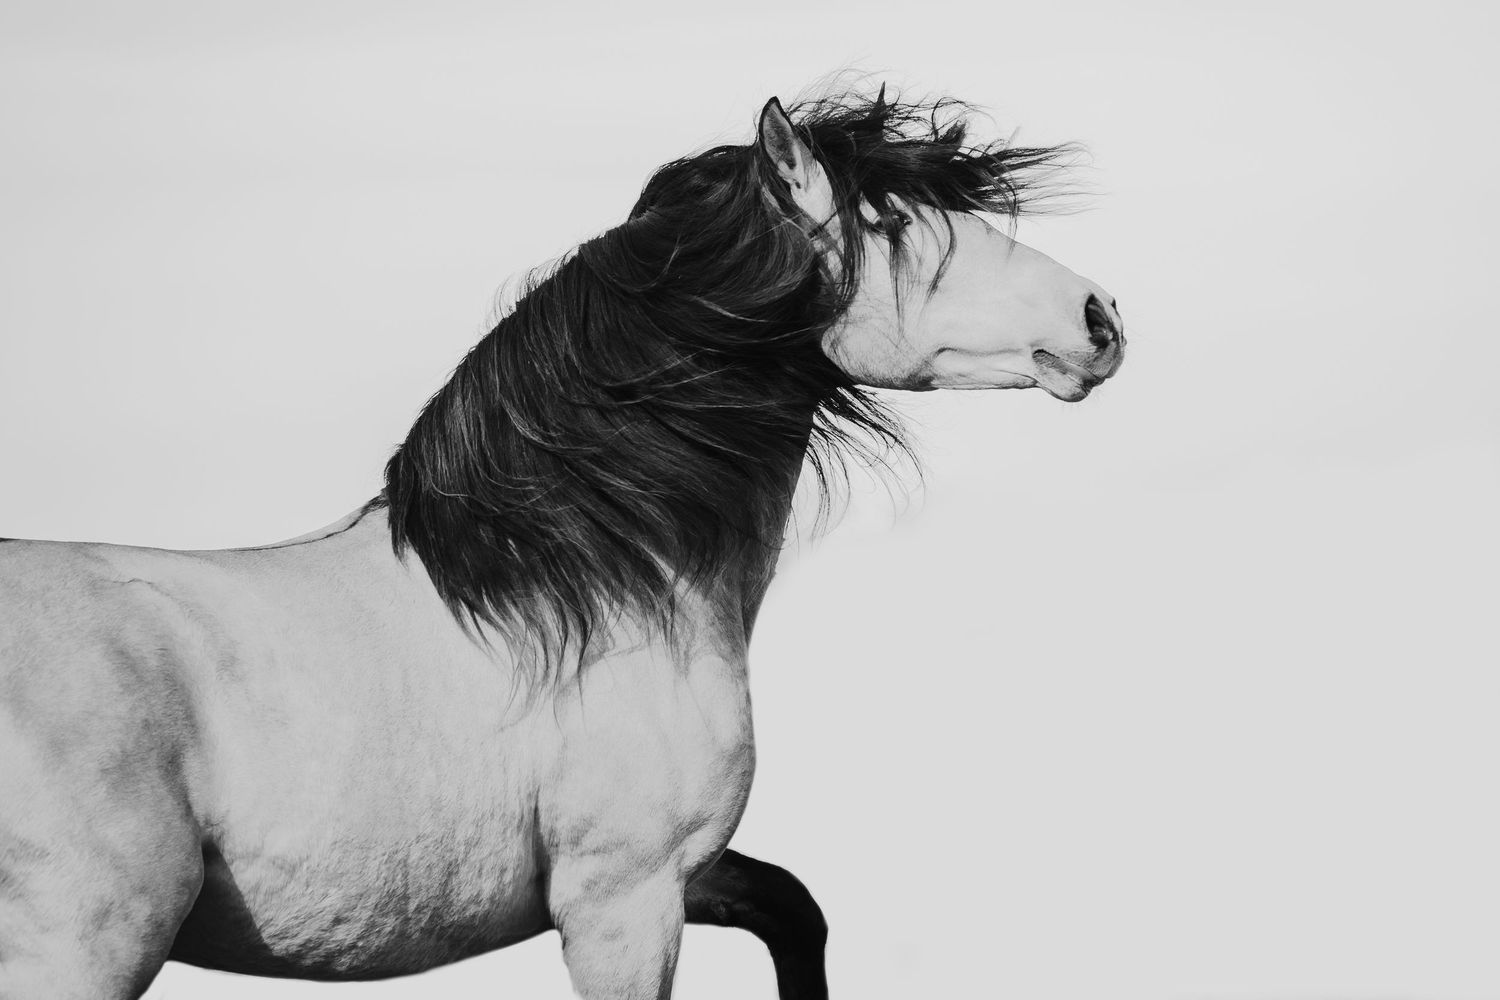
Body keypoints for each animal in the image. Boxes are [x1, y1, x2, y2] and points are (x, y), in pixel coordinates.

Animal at [0, 85, 1123, 999]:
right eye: (889, 219)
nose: (1099, 316)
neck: (589, 578)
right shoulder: (622, 895)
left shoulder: (687, 872)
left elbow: (797, 907)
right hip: (86, 952)